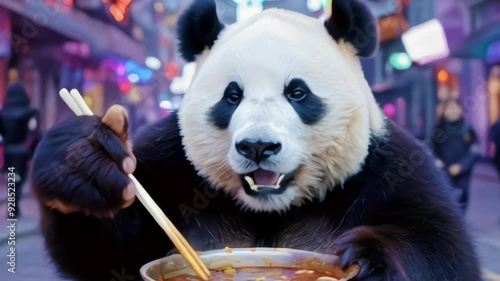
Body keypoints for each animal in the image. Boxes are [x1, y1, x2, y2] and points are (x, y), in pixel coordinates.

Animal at [31, 0, 480, 280]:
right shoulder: (168, 163)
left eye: (297, 93)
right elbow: (109, 255)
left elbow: (443, 252)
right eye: (232, 96)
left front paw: (366, 257)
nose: (258, 147)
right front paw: (85, 164)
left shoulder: (390, 168)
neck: (272, 208)